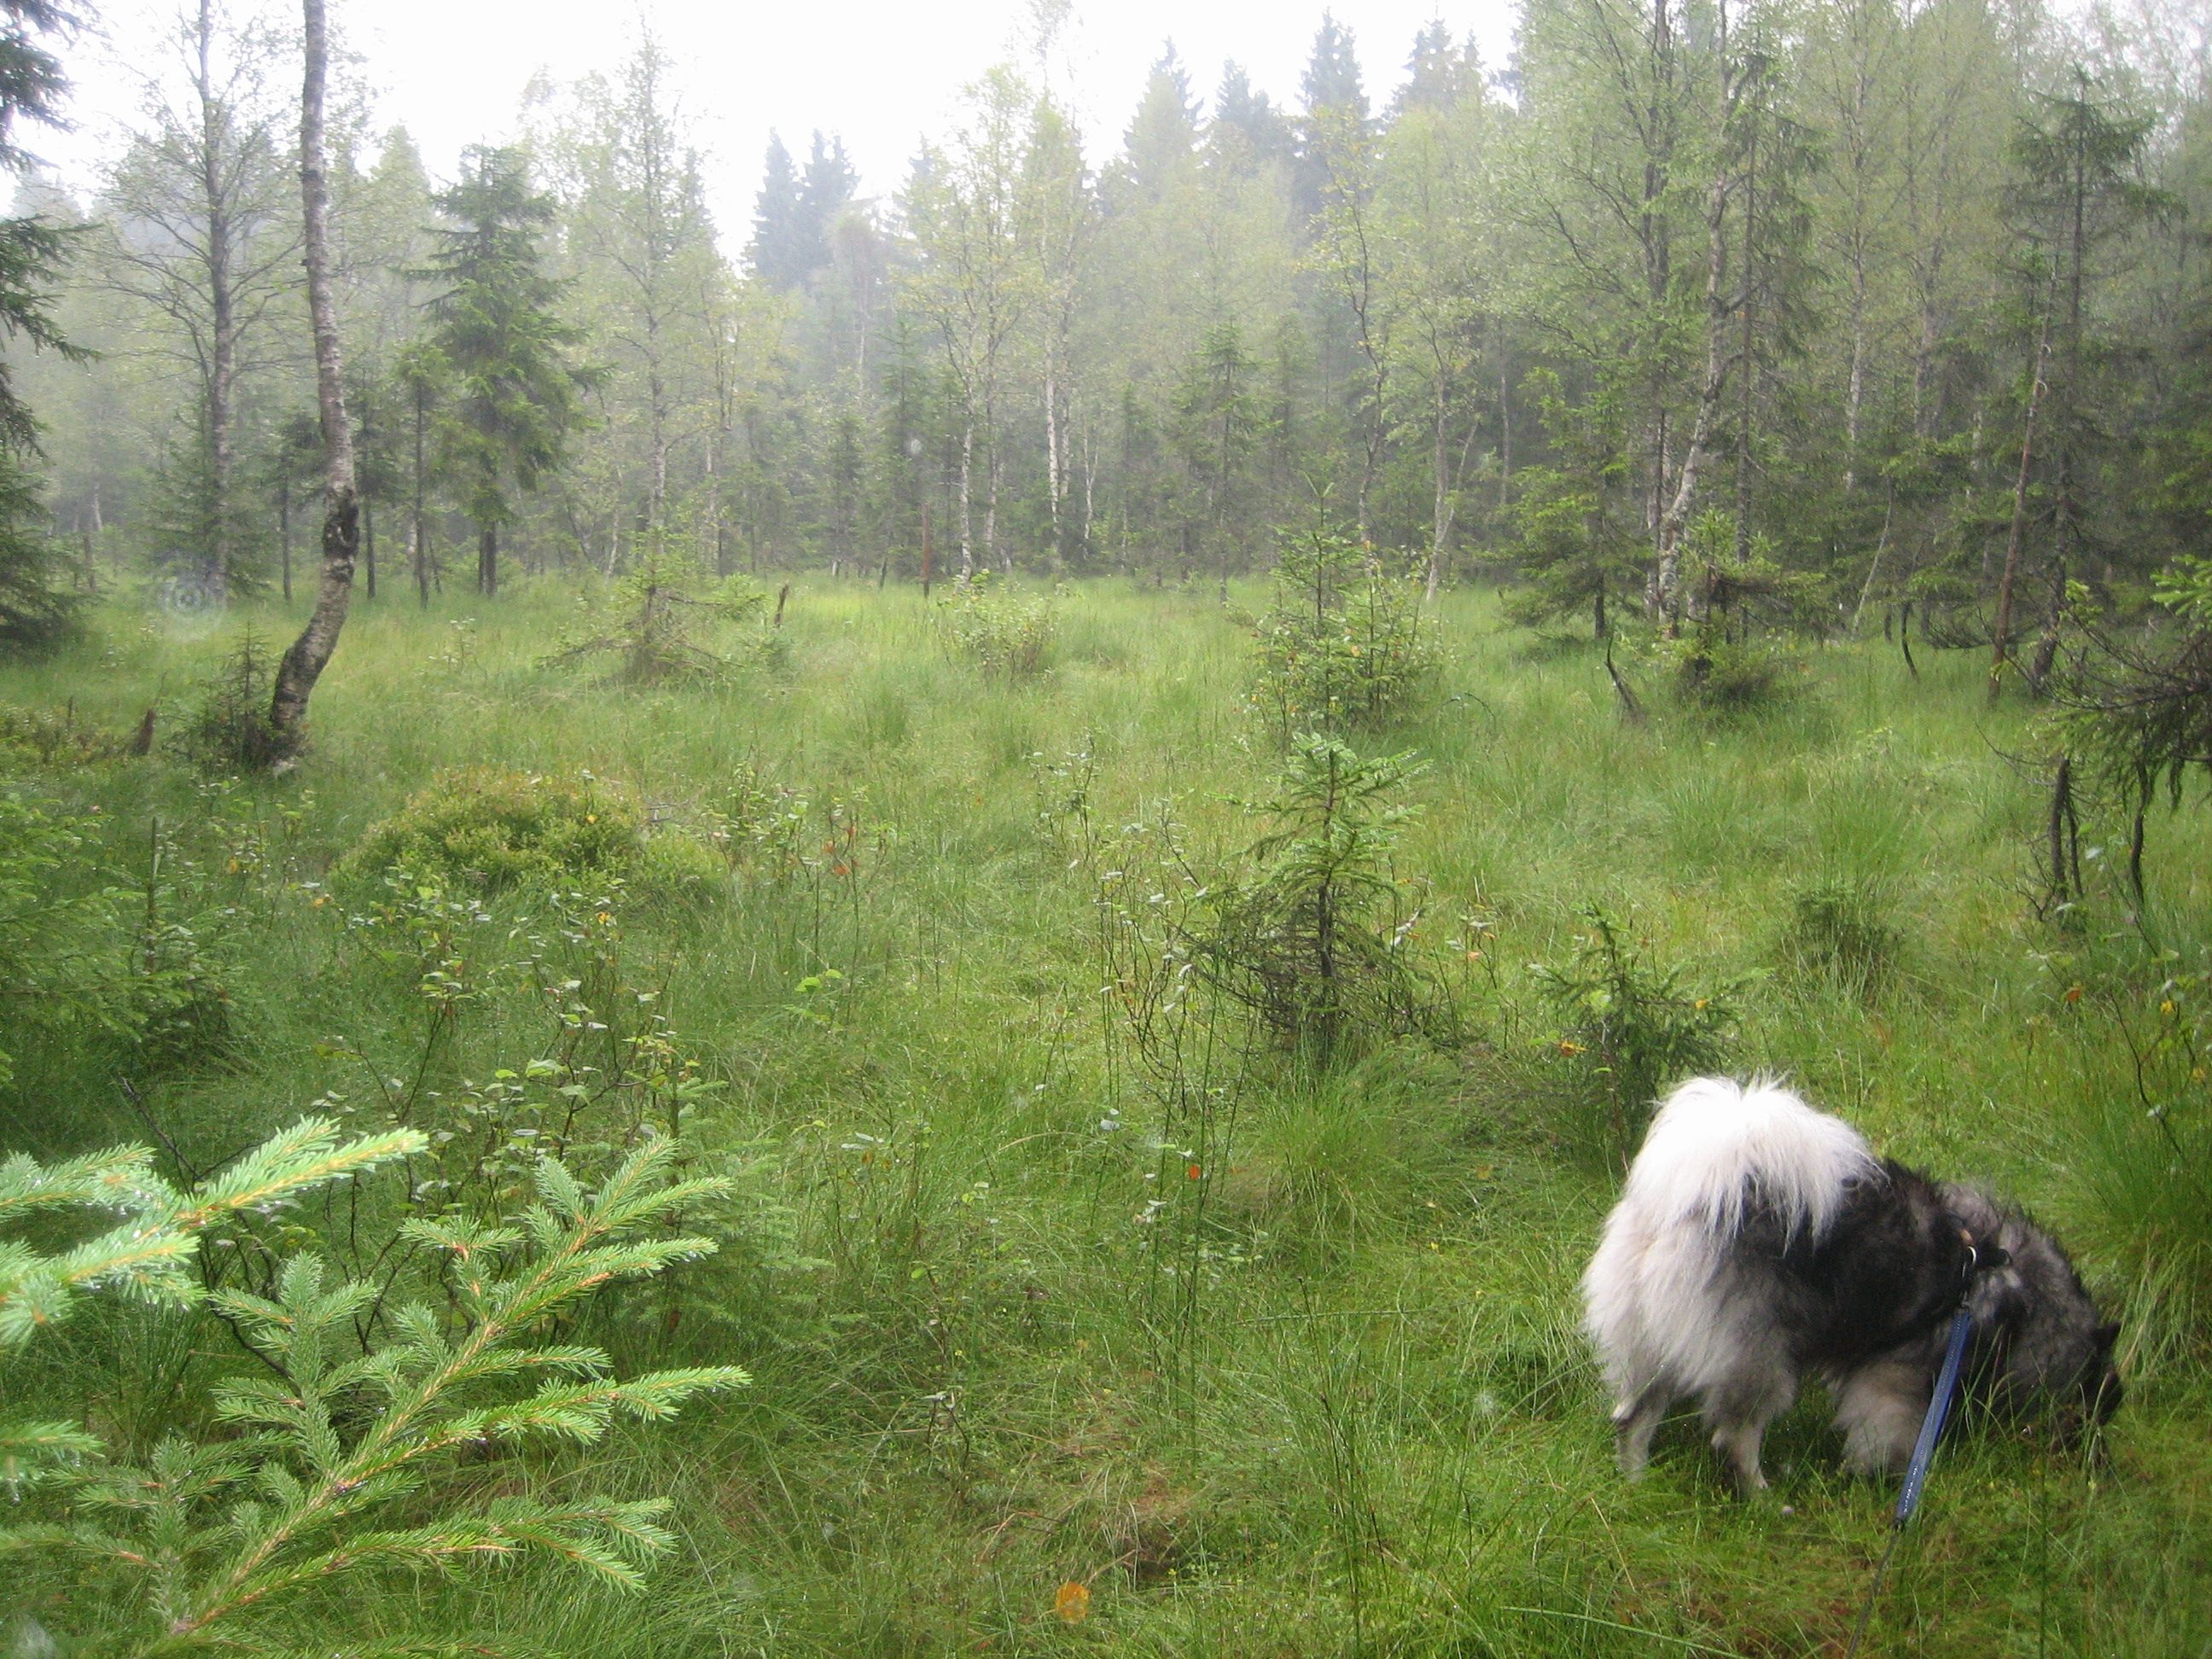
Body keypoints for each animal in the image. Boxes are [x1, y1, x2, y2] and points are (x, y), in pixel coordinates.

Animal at [1583, 1076, 2121, 1493]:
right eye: (2094, 1409)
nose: (2098, 1463)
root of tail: (1690, 1203)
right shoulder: (1894, 1378)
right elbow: (1888, 1433)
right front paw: (1883, 1477)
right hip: (1761, 1360)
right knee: (1734, 1437)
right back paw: (1763, 1498)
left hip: (1653, 1345)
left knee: (1632, 1418)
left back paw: (1636, 1484)